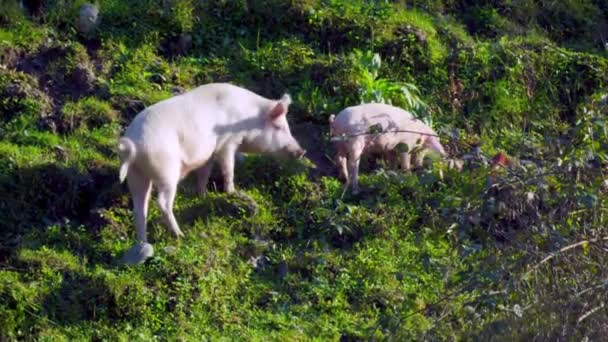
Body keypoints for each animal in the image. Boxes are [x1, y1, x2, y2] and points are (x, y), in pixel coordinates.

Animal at [117, 82, 306, 262]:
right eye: (280, 126)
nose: (302, 151)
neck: (245, 120)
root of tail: (134, 146)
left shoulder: (208, 153)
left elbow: (204, 173)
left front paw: (203, 194)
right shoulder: (227, 143)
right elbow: (228, 168)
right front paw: (232, 191)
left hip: (136, 175)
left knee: (139, 210)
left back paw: (143, 243)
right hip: (166, 171)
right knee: (162, 202)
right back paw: (180, 235)